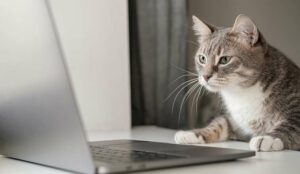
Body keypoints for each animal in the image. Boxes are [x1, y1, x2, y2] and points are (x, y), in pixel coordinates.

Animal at [173, 14, 300, 152]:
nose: (205, 76)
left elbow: (291, 125)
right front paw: (192, 133)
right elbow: (220, 123)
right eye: (202, 58)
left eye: (224, 59)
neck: (242, 92)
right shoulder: (235, 122)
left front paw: (268, 138)